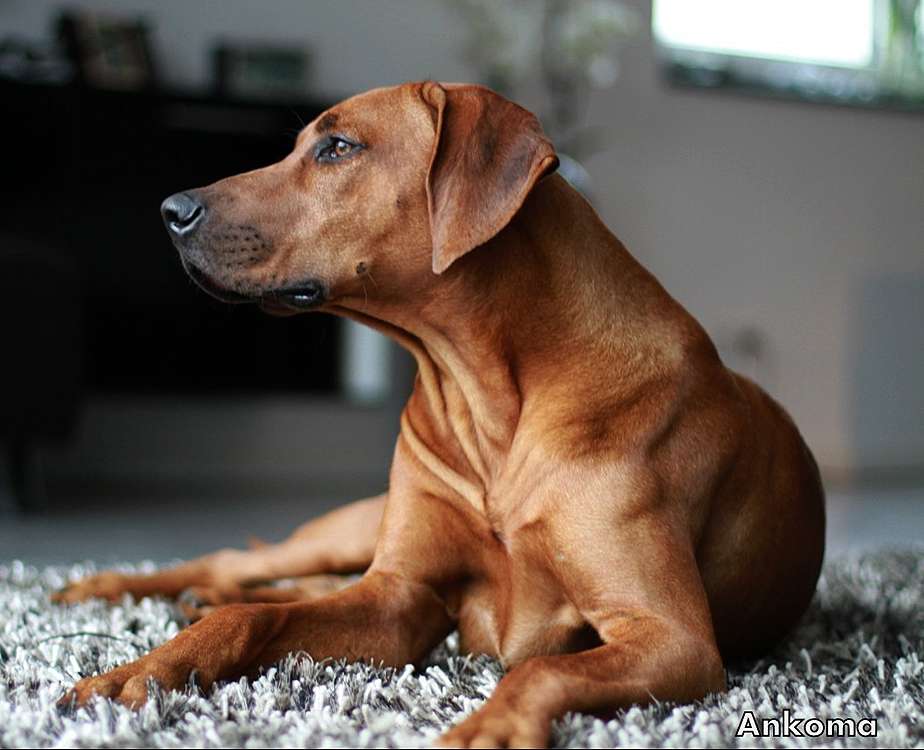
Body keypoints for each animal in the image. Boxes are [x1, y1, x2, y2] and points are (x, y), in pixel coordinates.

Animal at [55, 81, 825, 748]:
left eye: (337, 147)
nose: (170, 210)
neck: (486, 397)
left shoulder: (674, 639)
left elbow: (542, 667)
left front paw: (491, 725)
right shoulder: (400, 594)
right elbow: (251, 617)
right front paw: (140, 670)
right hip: (348, 531)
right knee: (240, 566)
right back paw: (114, 586)